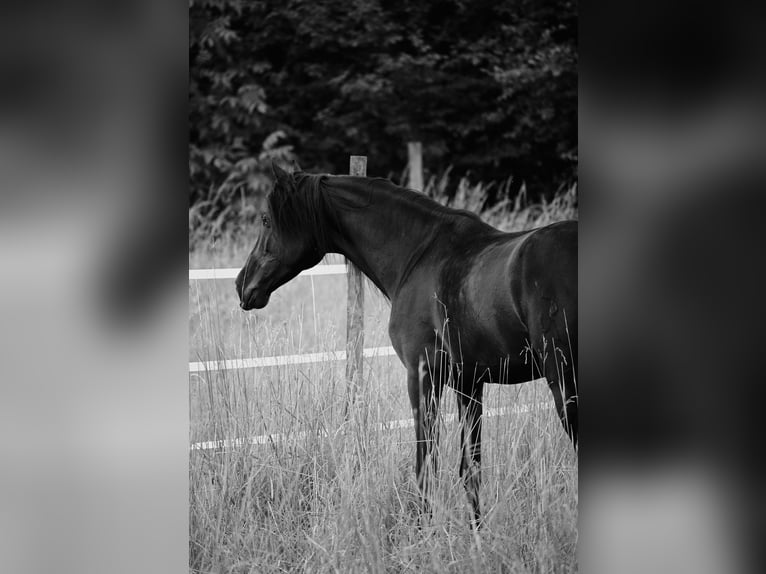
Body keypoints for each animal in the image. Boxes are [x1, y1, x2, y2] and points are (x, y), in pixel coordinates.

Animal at [236, 163, 578, 525]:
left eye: (266, 220)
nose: (242, 285)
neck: (418, 256)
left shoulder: (422, 376)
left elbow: (426, 468)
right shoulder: (469, 384)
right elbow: (471, 469)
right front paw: (477, 534)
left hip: (563, 381)